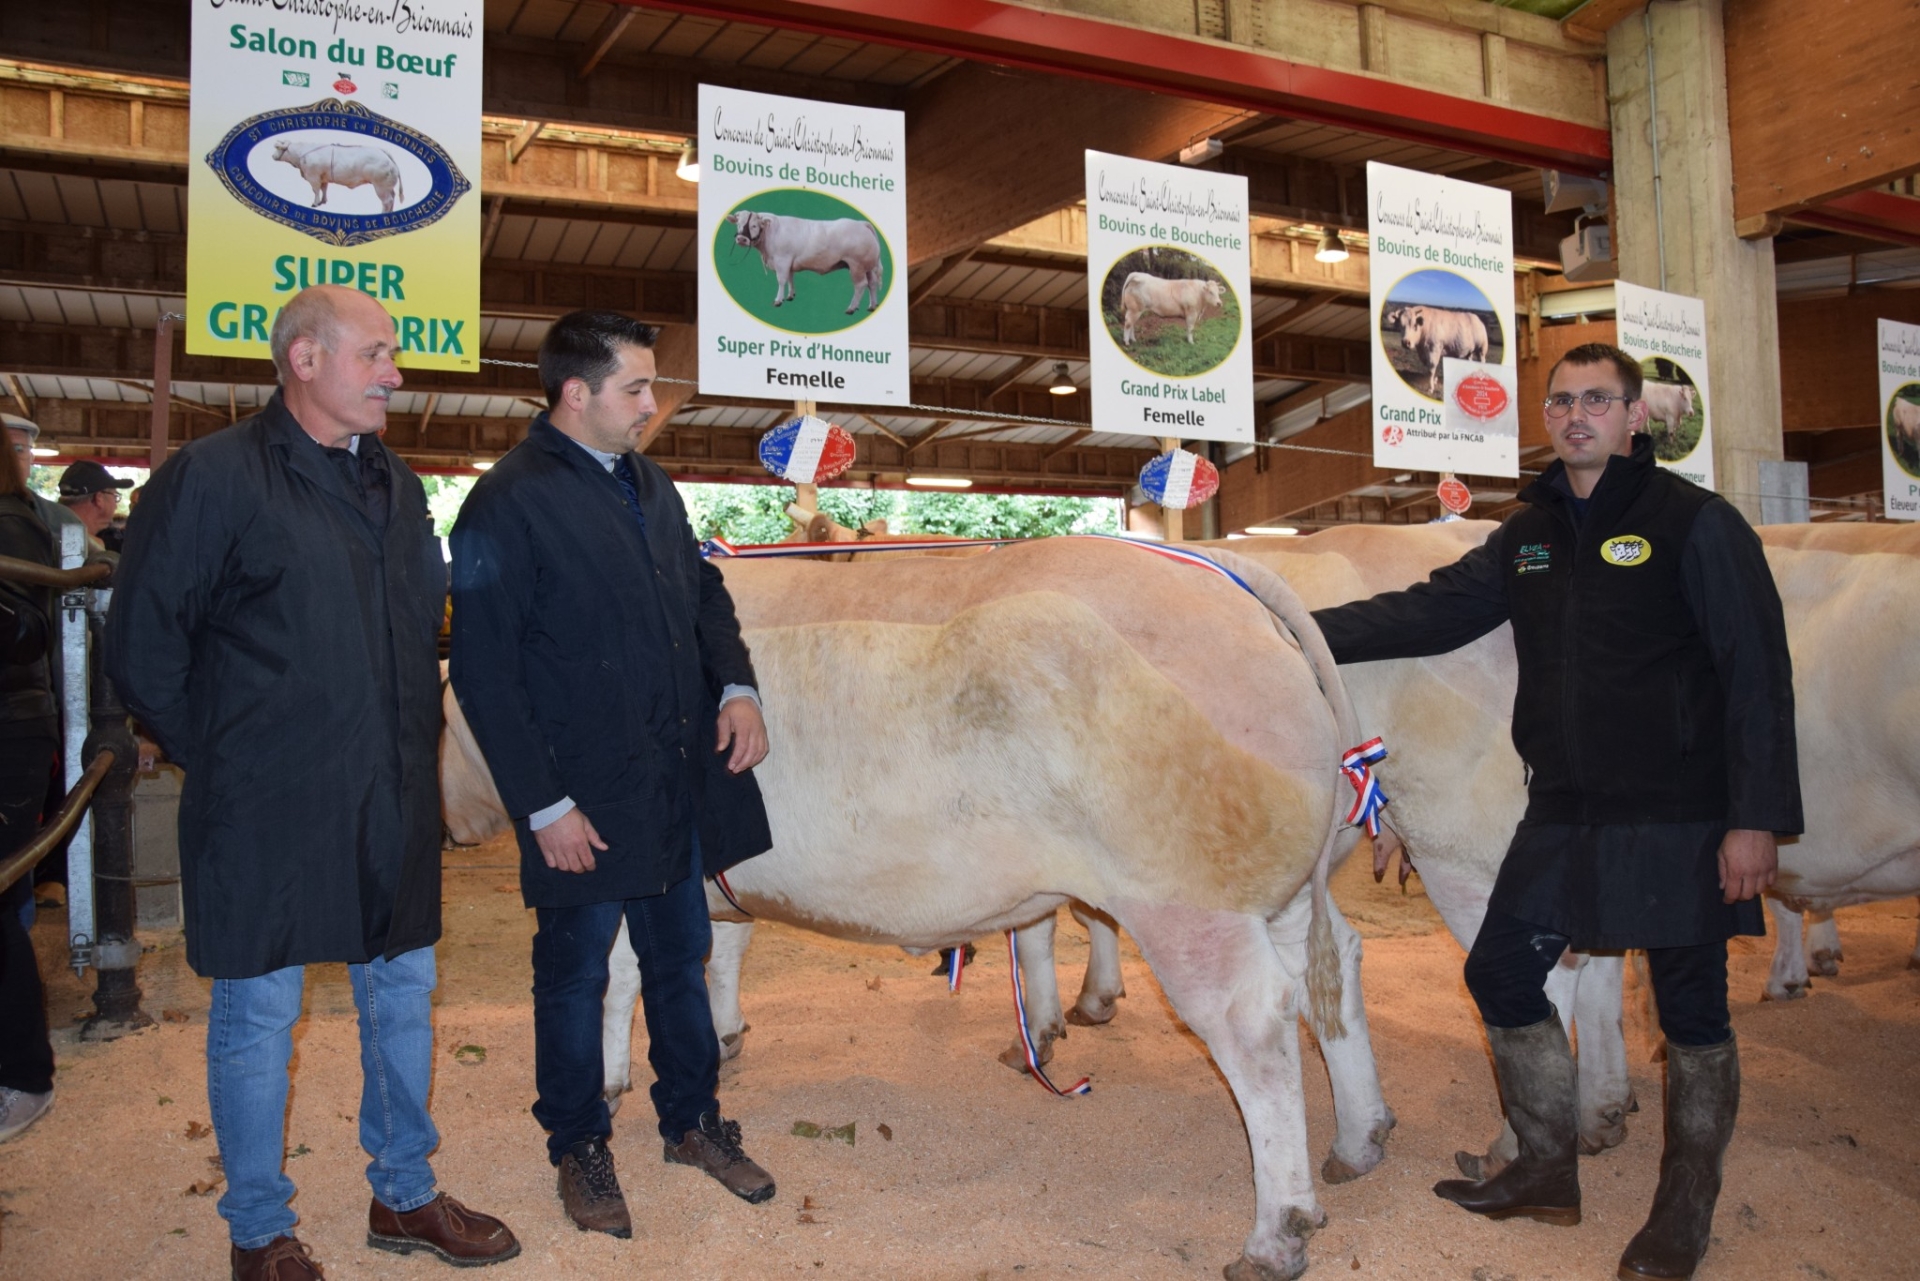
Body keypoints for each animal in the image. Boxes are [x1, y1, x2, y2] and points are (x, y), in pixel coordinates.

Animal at [270, 138, 405, 211]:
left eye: (278, 147)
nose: (272, 156)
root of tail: (384, 154)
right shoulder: (323, 177)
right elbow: (324, 189)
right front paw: (323, 201)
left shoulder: (313, 177)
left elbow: (316, 190)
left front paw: (315, 203)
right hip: (388, 186)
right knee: (392, 198)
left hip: (380, 186)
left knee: (387, 201)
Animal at [441, 541, 1390, 1281]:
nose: (451, 827)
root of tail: (1222, 574)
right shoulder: (716, 872)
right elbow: (721, 948)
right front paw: (724, 1036)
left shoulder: (638, 867)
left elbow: (618, 975)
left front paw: (612, 1076)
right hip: (1280, 888)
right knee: (1332, 970)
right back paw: (1360, 1137)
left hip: (1186, 895)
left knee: (1255, 1023)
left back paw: (1277, 1230)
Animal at [729, 210, 887, 313]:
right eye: (738, 224)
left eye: (754, 225)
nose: (741, 239)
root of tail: (862, 223)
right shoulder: (789, 263)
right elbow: (790, 278)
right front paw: (790, 295)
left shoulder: (782, 260)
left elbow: (781, 280)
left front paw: (778, 300)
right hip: (868, 267)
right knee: (872, 284)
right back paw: (872, 306)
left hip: (857, 266)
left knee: (861, 285)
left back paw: (851, 308)